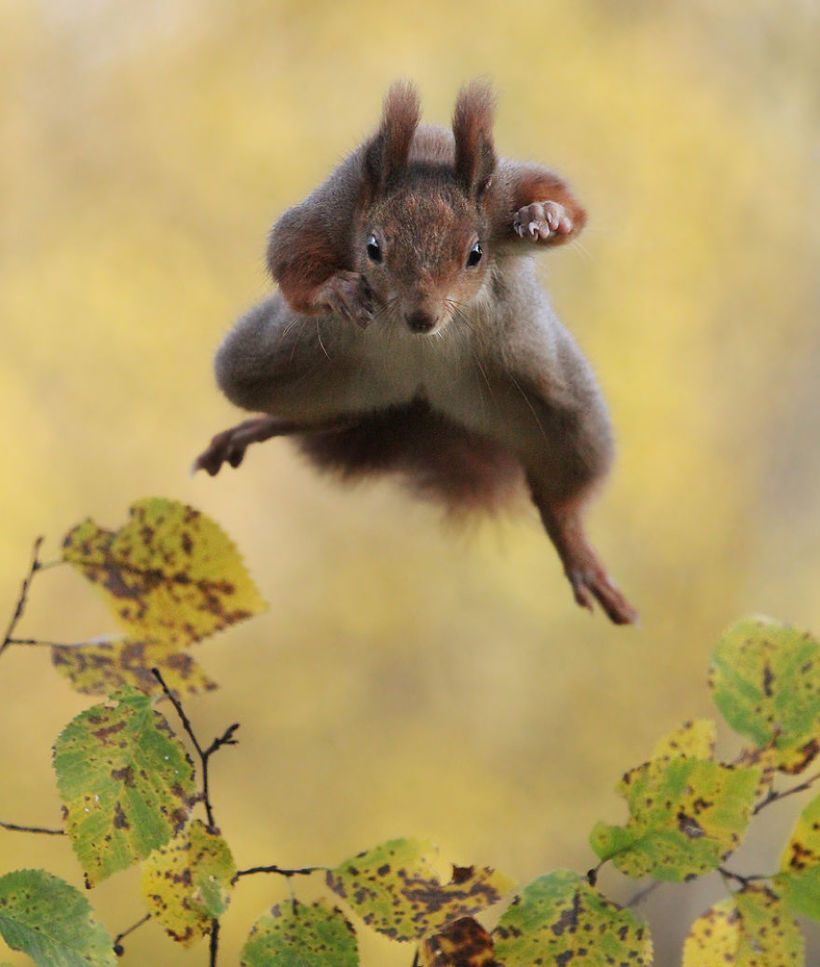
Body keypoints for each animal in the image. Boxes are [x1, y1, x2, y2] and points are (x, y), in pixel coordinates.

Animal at [195, 83, 636, 628]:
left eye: (476, 253)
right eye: (372, 248)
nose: (422, 318)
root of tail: (421, 398)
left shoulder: (504, 192)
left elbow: (561, 199)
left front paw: (545, 216)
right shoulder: (336, 206)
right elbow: (289, 250)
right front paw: (335, 290)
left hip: (559, 405)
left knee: (560, 491)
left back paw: (573, 543)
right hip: (271, 366)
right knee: (325, 416)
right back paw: (260, 427)